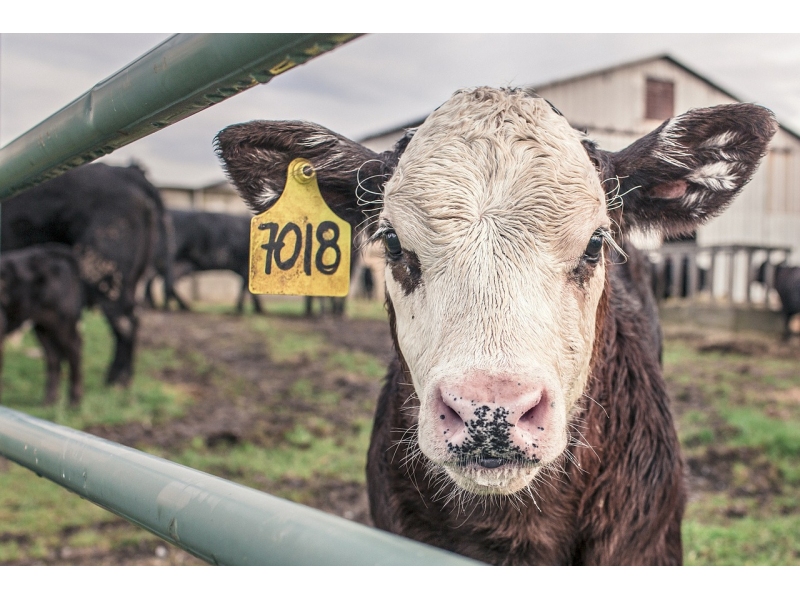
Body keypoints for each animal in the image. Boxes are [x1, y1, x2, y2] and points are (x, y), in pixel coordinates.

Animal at [0, 245, 84, 408]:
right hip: (43, 326)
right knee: (53, 357)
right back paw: (49, 401)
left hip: (62, 321)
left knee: (74, 349)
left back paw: (74, 401)